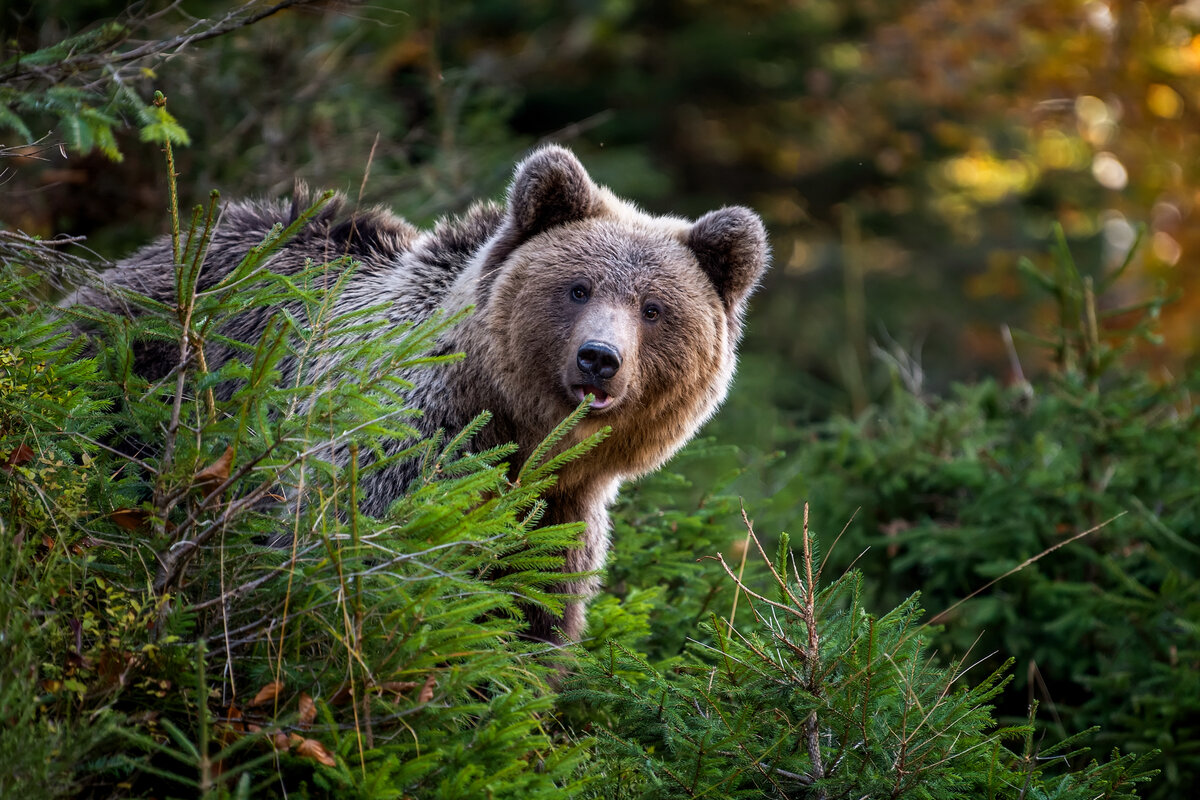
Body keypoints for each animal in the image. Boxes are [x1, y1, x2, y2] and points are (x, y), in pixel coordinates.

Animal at [72, 145, 768, 642]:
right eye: (577, 288)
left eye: (653, 309)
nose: (599, 359)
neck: (510, 429)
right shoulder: (402, 449)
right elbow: (365, 568)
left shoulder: (555, 513)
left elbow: (527, 617)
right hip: (140, 374)